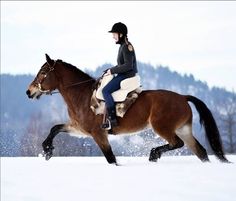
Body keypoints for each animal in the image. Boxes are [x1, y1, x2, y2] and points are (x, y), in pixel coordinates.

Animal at [26, 54, 229, 164]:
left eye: (43, 73)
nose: (29, 91)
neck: (82, 96)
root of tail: (183, 97)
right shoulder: (79, 129)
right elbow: (55, 128)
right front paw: (47, 150)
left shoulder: (98, 134)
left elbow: (110, 158)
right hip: (183, 129)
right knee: (201, 152)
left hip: (163, 127)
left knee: (177, 143)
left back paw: (154, 154)